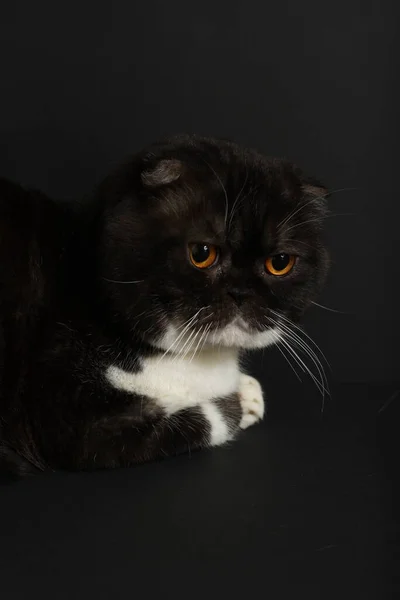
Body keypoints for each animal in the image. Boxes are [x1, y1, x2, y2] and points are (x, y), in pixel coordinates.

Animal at [0, 134, 328, 476]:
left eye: (280, 263)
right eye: (202, 253)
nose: (240, 292)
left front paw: (249, 392)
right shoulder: (69, 412)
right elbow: (211, 417)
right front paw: (239, 400)